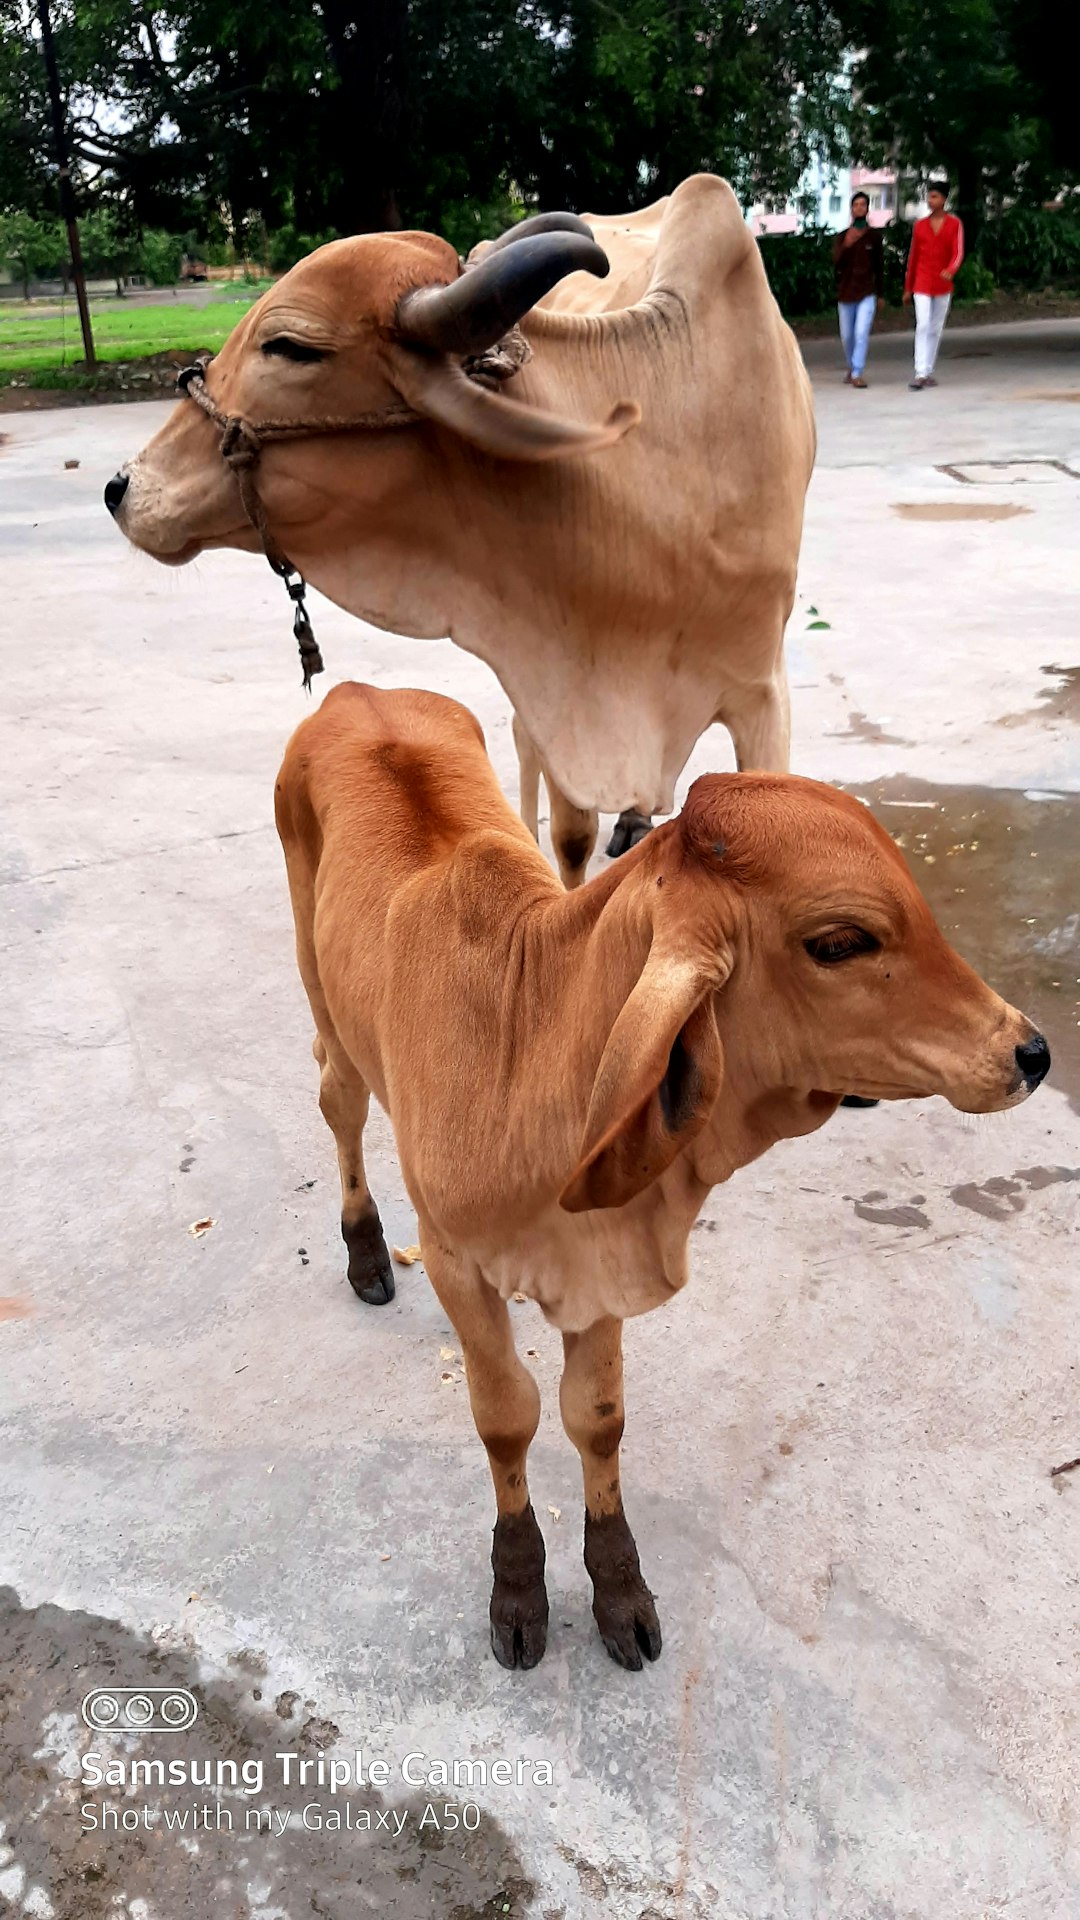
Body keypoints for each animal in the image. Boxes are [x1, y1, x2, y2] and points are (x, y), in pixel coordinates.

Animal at [272, 687, 1045, 1666]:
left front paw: (619, 1589)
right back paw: (365, 1252)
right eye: (840, 943)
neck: (525, 1046)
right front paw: (517, 1588)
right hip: (323, 1003)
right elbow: (506, 1415)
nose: (1030, 1051)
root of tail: (352, 694)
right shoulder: (454, 1259)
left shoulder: (601, 1258)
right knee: (338, 1106)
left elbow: (596, 1417)